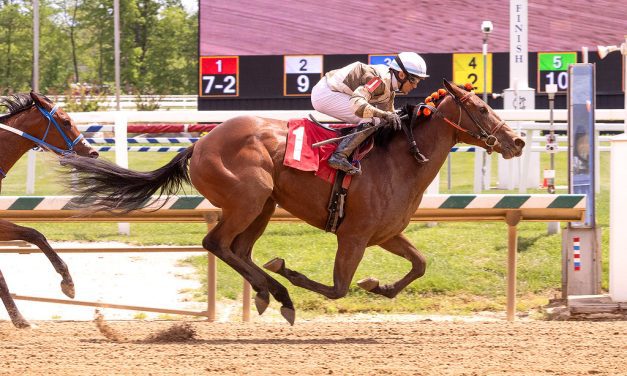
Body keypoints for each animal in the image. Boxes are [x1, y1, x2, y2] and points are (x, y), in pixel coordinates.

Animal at [62, 78, 524, 324]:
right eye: (482, 108)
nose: (517, 141)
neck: (401, 160)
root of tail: (199, 144)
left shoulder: (385, 234)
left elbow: (420, 264)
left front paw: (381, 286)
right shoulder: (354, 236)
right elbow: (338, 289)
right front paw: (296, 275)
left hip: (264, 204)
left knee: (238, 249)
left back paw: (268, 292)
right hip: (249, 197)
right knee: (217, 244)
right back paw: (277, 289)